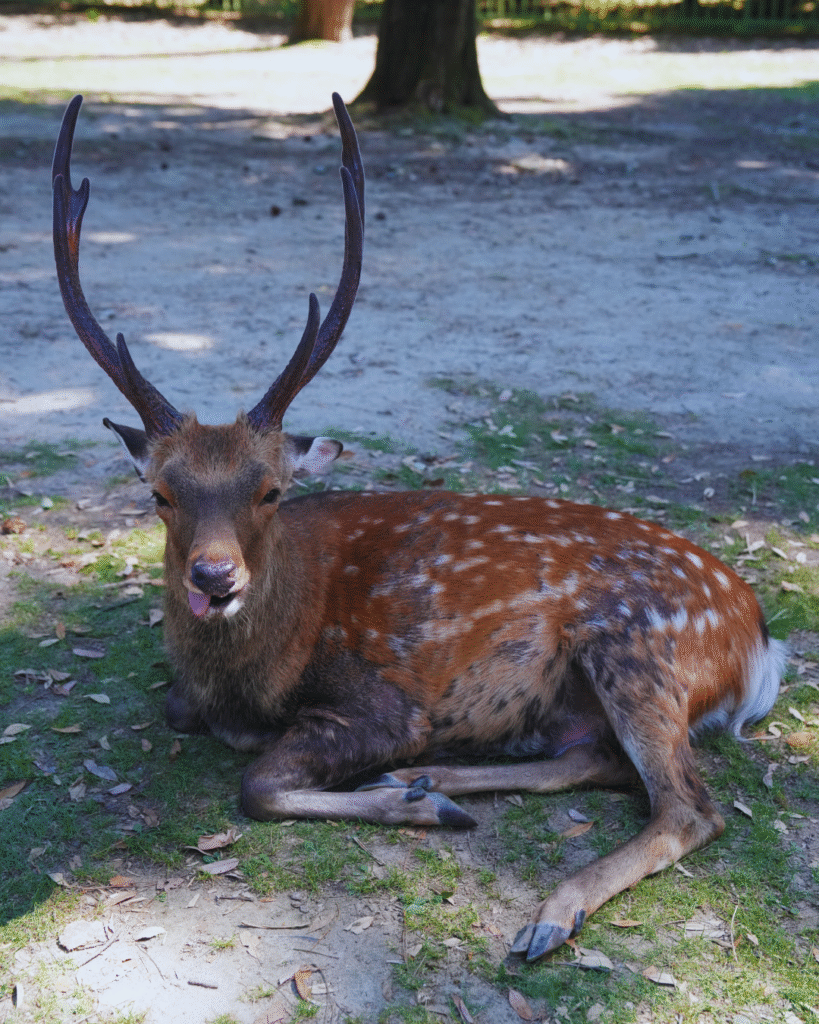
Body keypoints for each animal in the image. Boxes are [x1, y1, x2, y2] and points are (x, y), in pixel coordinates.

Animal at [52, 93, 786, 962]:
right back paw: (429, 783)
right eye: (160, 494)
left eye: (271, 491)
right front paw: (410, 791)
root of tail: (758, 640)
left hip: (639, 646)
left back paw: (538, 903)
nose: (213, 577)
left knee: (686, 804)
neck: (239, 680)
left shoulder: (381, 705)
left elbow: (257, 783)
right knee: (597, 761)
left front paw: (397, 799)